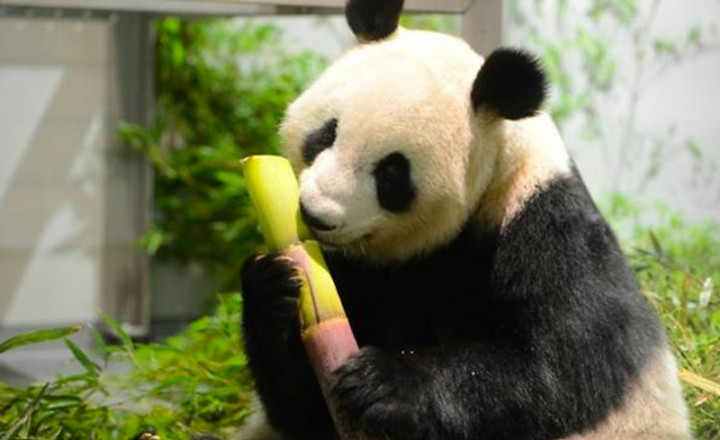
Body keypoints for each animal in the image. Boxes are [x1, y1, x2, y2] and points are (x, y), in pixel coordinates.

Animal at [238, 0, 691, 439]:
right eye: (328, 132)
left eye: (392, 173)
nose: (316, 214)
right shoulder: (349, 270)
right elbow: (303, 407)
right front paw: (270, 289)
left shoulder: (548, 230)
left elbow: (562, 370)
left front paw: (385, 382)